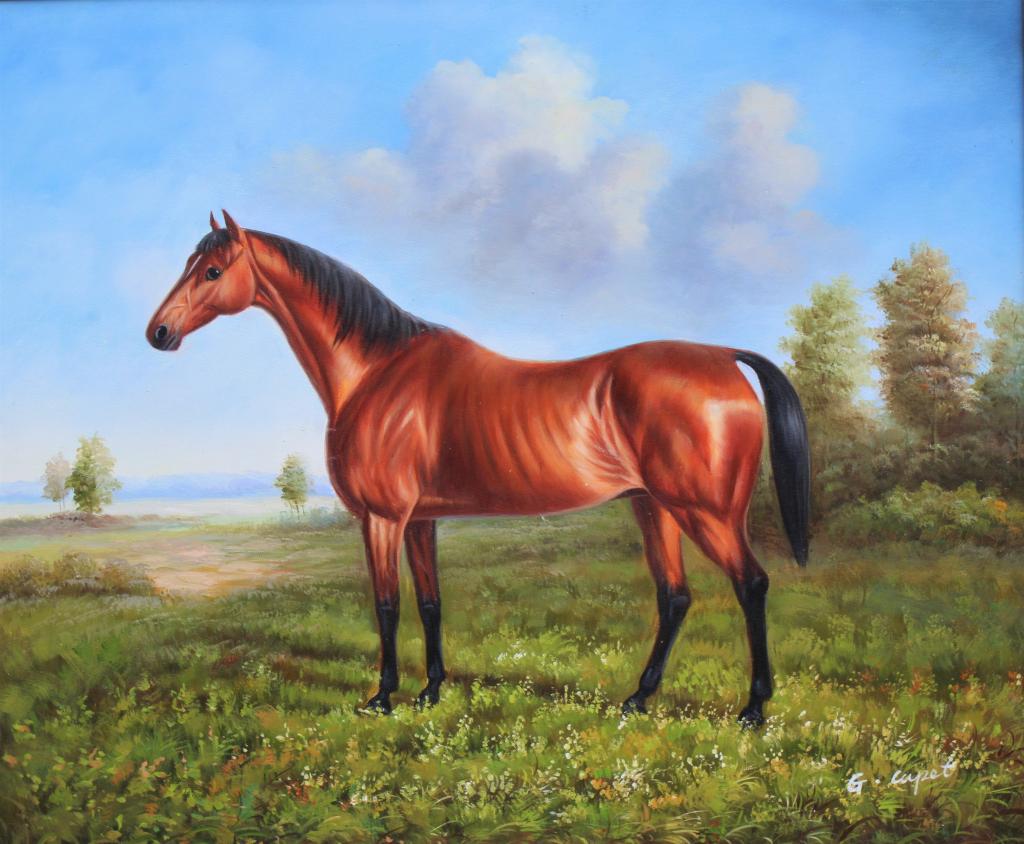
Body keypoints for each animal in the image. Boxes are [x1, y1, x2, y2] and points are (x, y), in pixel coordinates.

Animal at [147, 211, 809, 727]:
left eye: (211, 271)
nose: (159, 332)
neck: (378, 372)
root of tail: (724, 358)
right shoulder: (420, 520)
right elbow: (430, 602)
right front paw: (430, 690)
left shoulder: (382, 518)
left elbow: (386, 603)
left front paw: (382, 697)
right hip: (655, 507)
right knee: (673, 597)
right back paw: (638, 700)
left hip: (705, 511)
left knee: (751, 585)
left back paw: (753, 709)